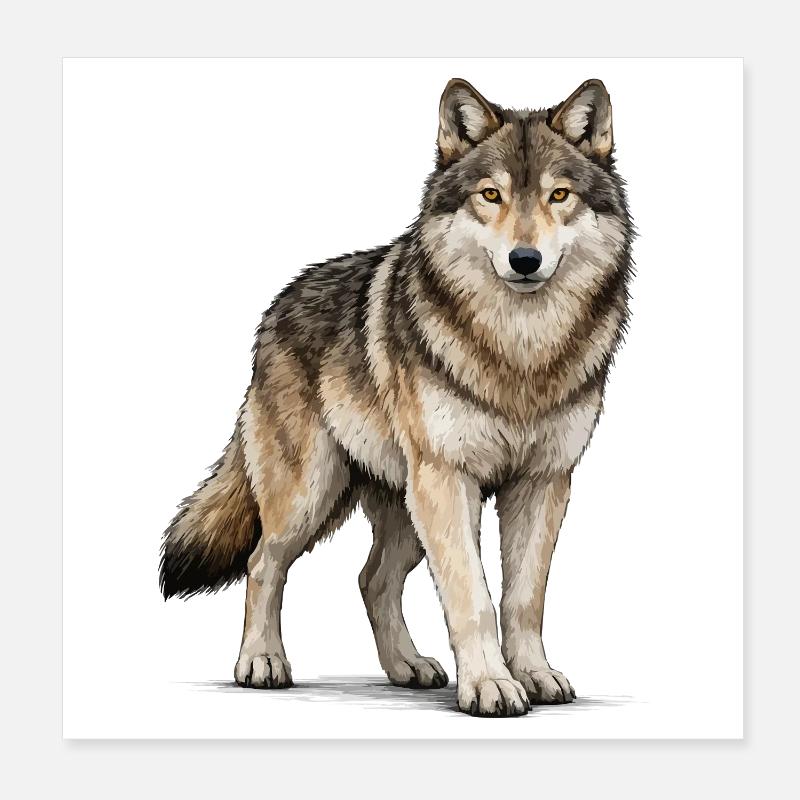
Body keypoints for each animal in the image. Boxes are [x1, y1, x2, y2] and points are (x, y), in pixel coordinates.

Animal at [160, 77, 633, 717]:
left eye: (559, 195)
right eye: (490, 195)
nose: (525, 260)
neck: (519, 351)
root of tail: (276, 307)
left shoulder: (544, 482)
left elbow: (523, 598)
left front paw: (533, 674)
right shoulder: (448, 479)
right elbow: (473, 597)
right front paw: (490, 685)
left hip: (405, 507)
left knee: (372, 580)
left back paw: (406, 666)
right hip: (314, 495)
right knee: (264, 562)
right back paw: (261, 662)